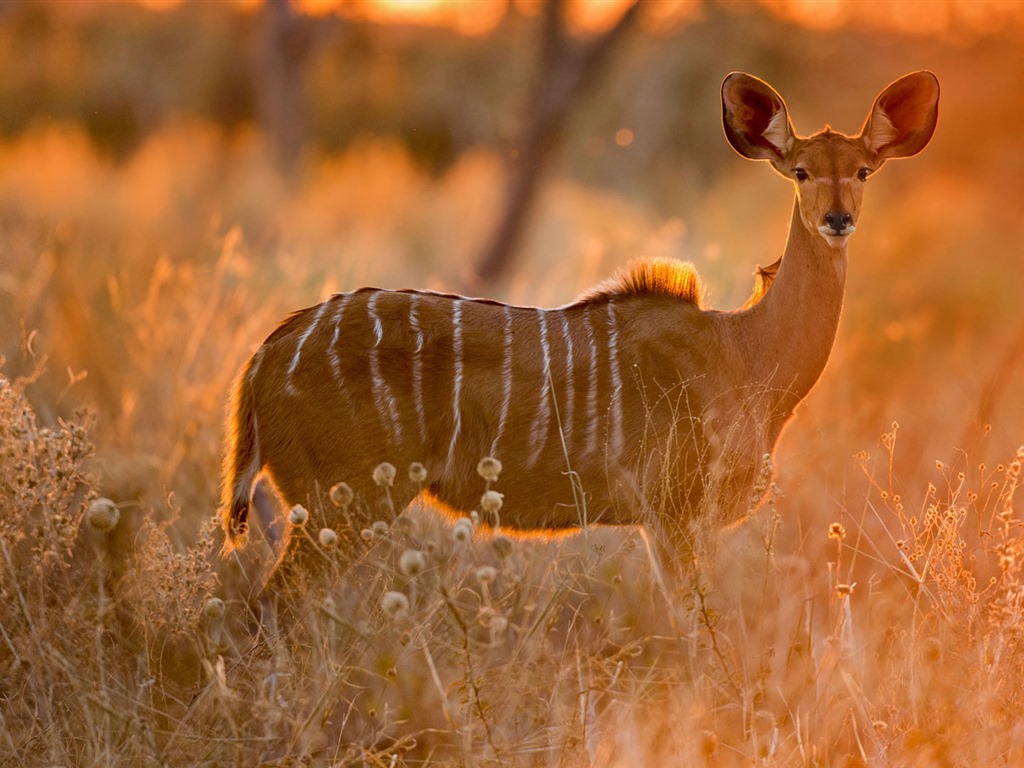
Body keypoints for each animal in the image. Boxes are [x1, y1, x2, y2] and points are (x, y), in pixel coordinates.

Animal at [220, 73, 937, 589]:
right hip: (343, 506)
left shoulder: (670, 526)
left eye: (863, 170)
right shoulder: (675, 519)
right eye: (801, 171)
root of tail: (263, 358)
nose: (839, 219)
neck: (745, 353)